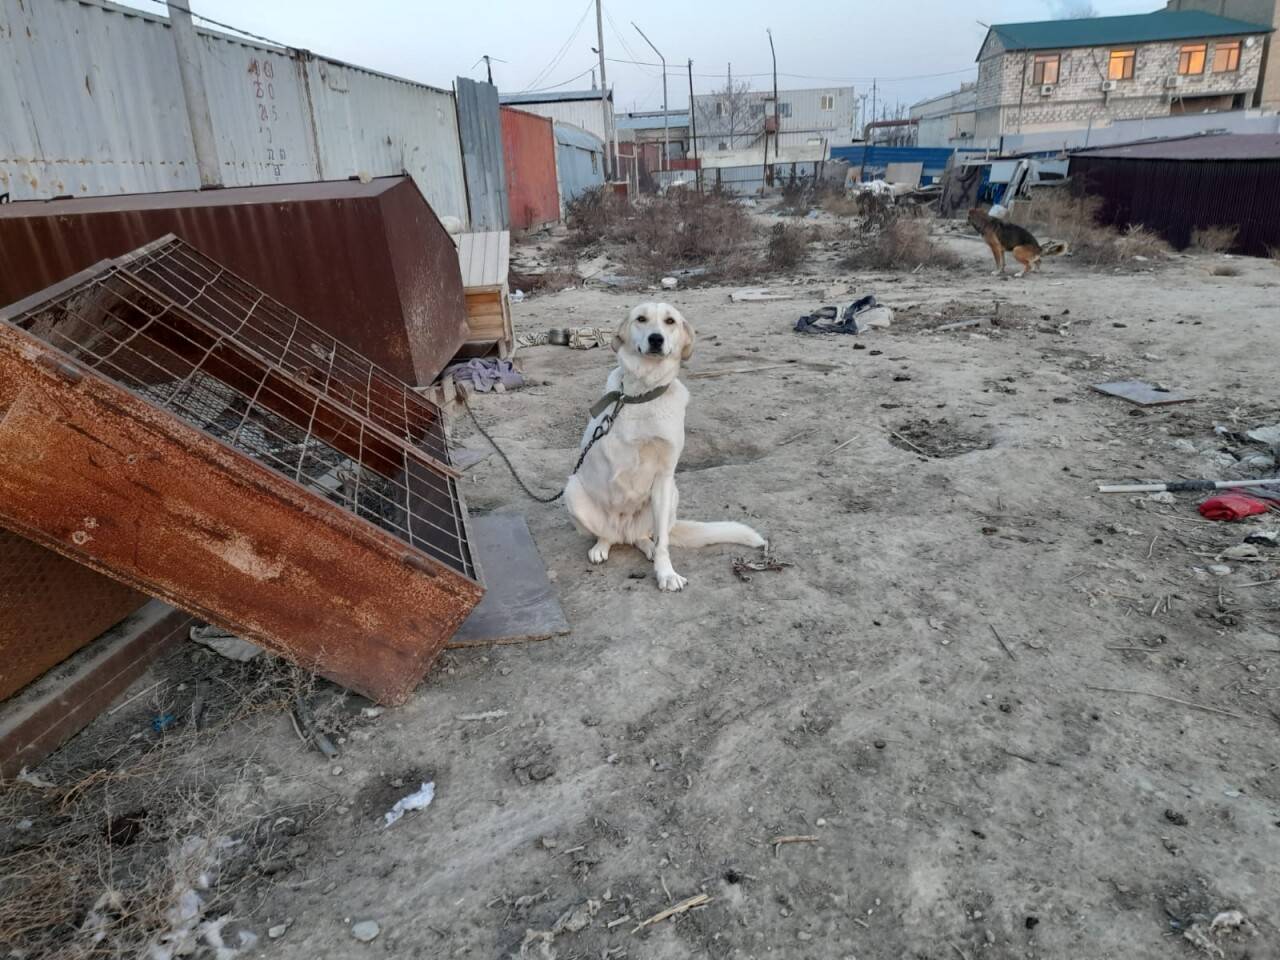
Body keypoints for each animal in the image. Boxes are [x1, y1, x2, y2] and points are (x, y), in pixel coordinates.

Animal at [565, 300, 762, 591]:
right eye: (641, 319)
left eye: (670, 321)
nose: (656, 339)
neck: (645, 393)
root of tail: (624, 532)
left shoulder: (664, 476)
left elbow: (663, 543)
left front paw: (666, 573)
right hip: (572, 491)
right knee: (606, 535)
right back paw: (602, 546)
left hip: (672, 496)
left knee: (648, 536)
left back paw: (646, 545)